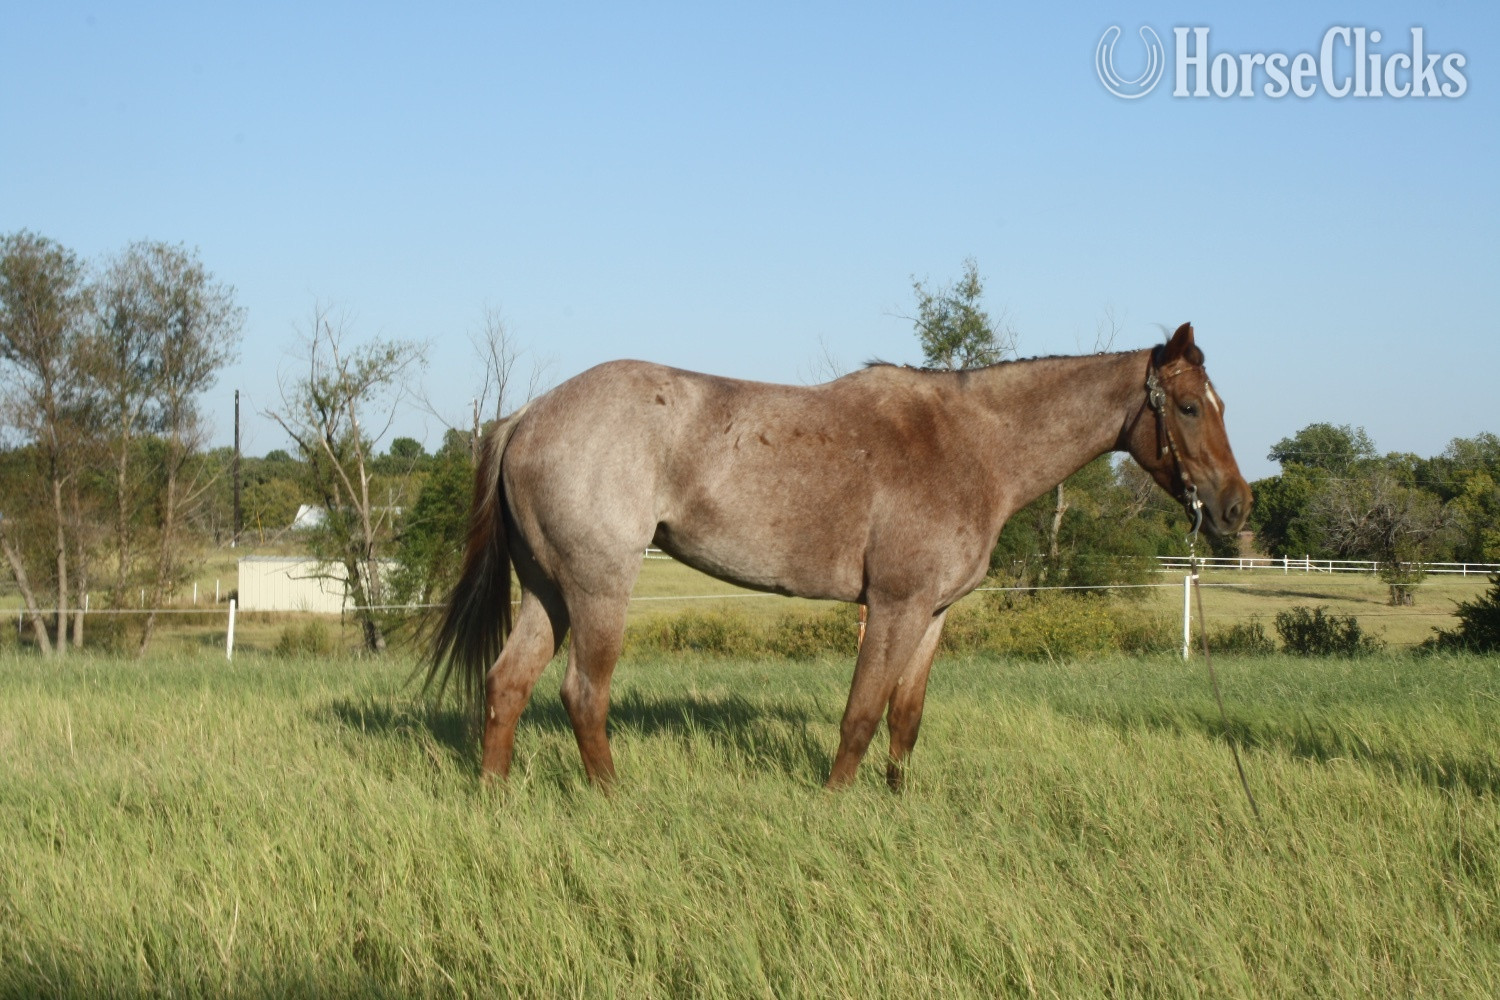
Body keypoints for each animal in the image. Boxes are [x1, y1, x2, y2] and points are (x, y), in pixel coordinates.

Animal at [430, 321, 1251, 789]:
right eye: (1186, 407)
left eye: (1218, 405)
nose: (1237, 508)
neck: (973, 446)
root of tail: (527, 415)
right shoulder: (891, 606)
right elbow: (860, 715)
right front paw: (835, 806)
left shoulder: (932, 614)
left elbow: (904, 720)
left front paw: (897, 804)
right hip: (599, 588)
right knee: (584, 695)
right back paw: (612, 801)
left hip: (548, 590)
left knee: (507, 686)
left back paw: (495, 799)